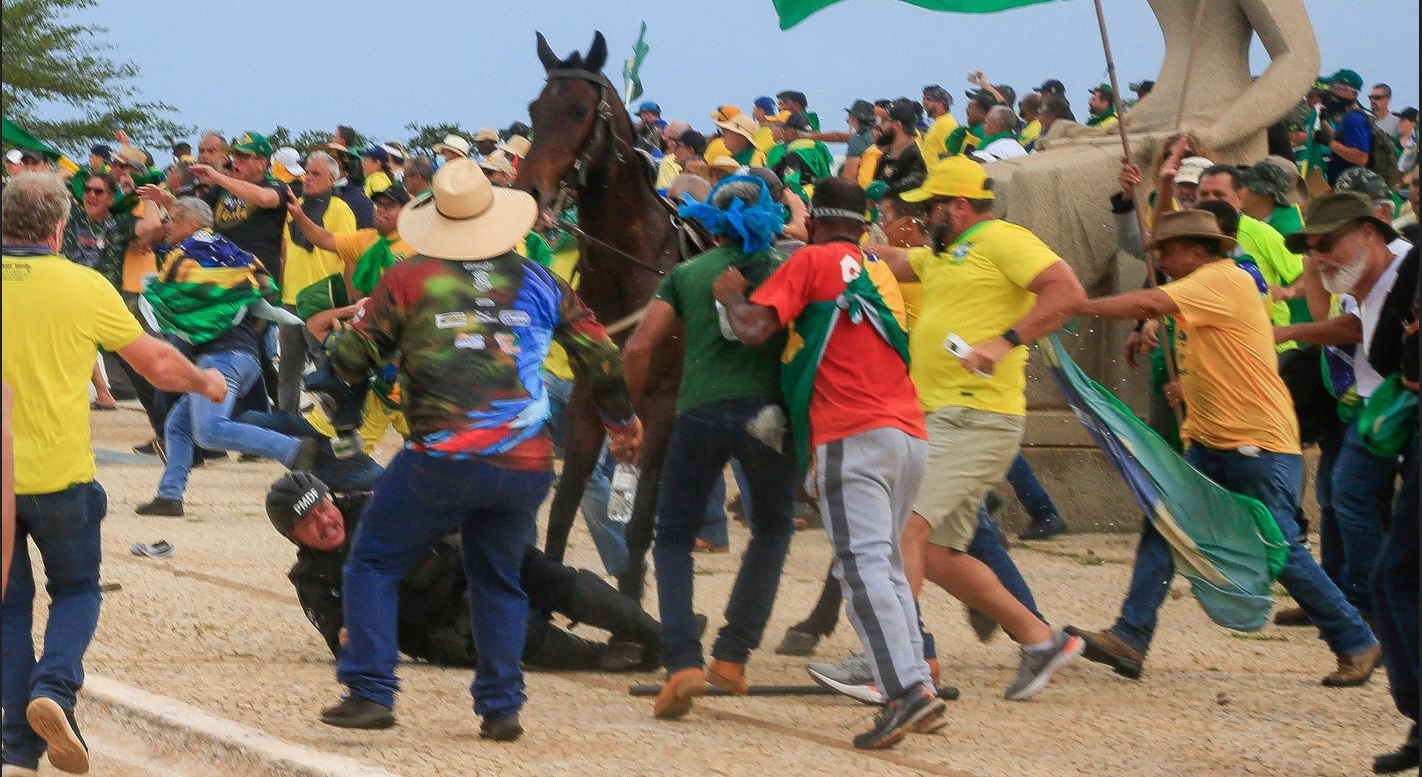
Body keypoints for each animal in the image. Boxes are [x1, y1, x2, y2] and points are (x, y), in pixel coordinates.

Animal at [514, 30, 691, 597]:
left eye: (577, 110)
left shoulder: (659, 408)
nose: (528, 193)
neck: (630, 266)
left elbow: (638, 525)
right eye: (534, 109)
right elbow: (562, 510)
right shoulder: (589, 401)